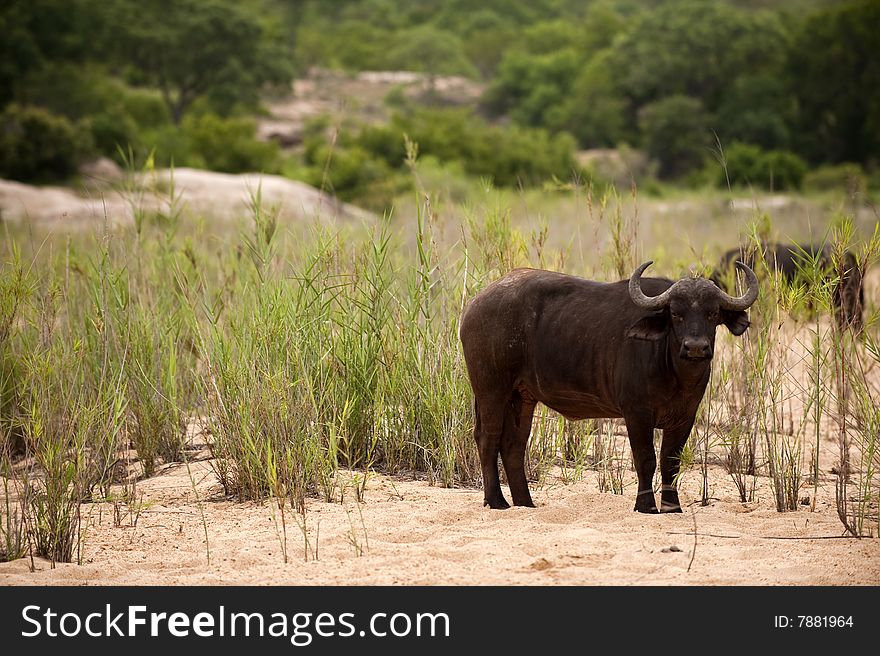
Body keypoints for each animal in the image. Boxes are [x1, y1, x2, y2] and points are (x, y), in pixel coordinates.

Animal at [460, 262, 756, 512]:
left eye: (712, 313)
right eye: (676, 314)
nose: (695, 347)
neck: (675, 375)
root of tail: (475, 304)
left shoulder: (685, 417)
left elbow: (670, 461)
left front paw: (672, 507)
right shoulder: (636, 414)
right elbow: (646, 459)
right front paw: (645, 507)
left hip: (522, 397)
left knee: (513, 445)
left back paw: (525, 503)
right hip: (490, 390)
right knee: (487, 438)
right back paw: (497, 501)